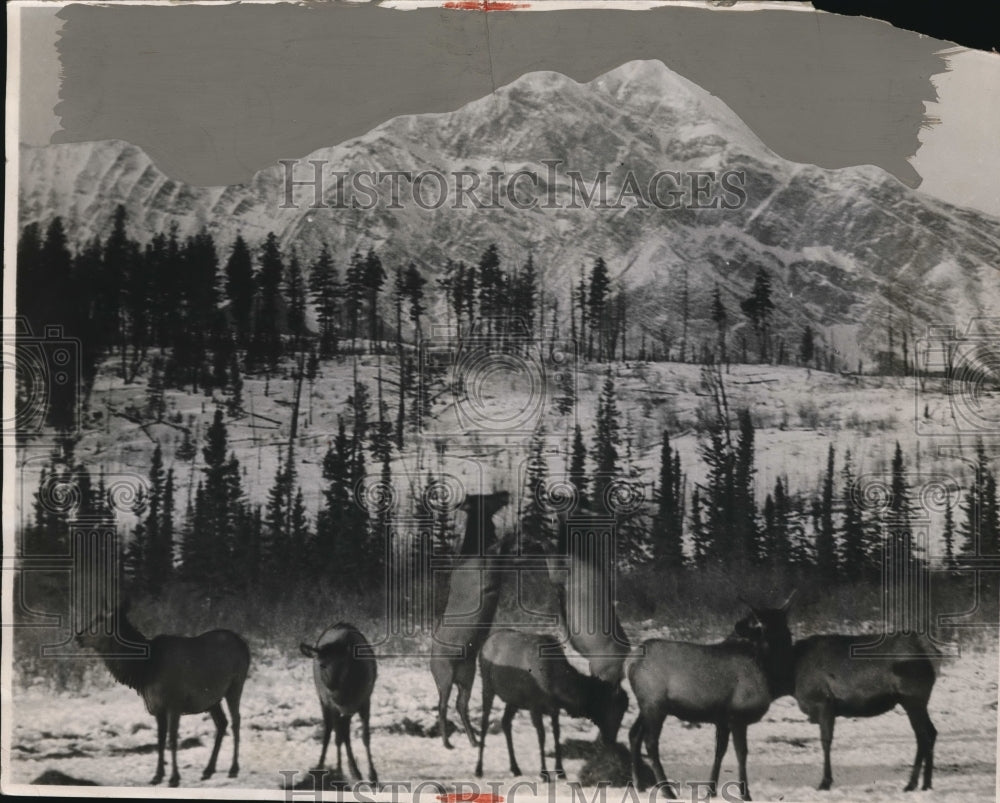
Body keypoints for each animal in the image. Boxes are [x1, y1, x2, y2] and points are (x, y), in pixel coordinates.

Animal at [74, 600, 250, 788]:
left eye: (100, 620)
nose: (78, 636)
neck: (145, 670)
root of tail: (245, 645)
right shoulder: (157, 707)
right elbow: (159, 740)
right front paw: (157, 776)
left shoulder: (174, 703)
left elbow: (172, 740)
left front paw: (174, 778)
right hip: (212, 698)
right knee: (222, 723)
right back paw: (208, 770)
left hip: (236, 684)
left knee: (235, 721)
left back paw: (233, 769)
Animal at [296, 620, 378, 784]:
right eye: (322, 665)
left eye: (342, 664)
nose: (331, 686)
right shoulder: (332, 704)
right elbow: (339, 735)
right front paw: (343, 771)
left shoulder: (364, 699)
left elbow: (365, 737)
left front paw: (372, 774)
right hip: (322, 699)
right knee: (331, 730)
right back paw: (324, 766)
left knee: (341, 731)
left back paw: (351, 770)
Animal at [430, 494, 512, 752]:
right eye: (487, 498)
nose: (506, 493)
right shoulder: (487, 565)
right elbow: (501, 545)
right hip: (445, 676)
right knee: (443, 706)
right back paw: (447, 742)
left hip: (468, 676)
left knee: (460, 705)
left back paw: (474, 740)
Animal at [474, 632, 624, 784]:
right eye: (612, 709)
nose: (611, 740)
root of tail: (484, 644)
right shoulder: (534, 706)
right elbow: (542, 736)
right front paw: (544, 773)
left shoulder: (554, 709)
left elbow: (556, 735)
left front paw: (561, 771)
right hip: (488, 687)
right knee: (485, 722)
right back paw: (479, 769)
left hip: (513, 700)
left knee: (505, 722)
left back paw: (515, 768)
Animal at [776, 632, 940, 796]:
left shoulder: (824, 703)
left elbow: (826, 742)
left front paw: (825, 782)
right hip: (918, 702)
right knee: (932, 731)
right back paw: (926, 784)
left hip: (912, 699)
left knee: (923, 736)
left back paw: (911, 784)